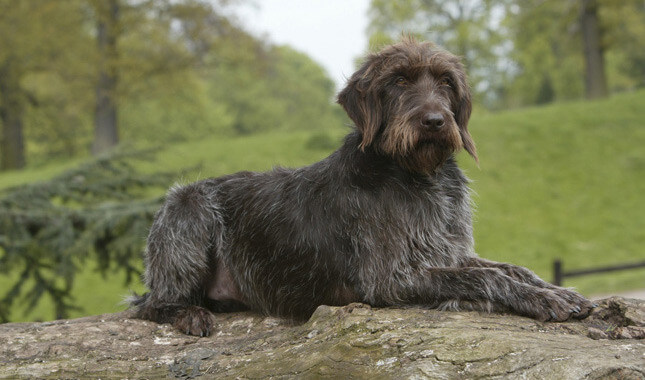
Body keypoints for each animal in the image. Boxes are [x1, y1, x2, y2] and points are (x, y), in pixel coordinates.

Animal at [131, 37, 592, 336]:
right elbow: (486, 278)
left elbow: (511, 268)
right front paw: (545, 301)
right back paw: (189, 315)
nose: (434, 121)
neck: (418, 175)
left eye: (445, 82)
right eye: (399, 81)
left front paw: (557, 290)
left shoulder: (448, 251)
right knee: (149, 305)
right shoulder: (389, 278)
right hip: (188, 207)